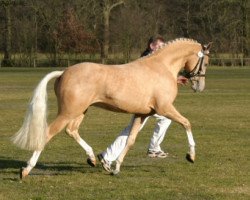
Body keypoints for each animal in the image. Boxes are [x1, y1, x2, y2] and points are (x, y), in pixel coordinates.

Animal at [11, 38, 211, 177]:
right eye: (206, 62)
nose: (199, 86)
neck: (161, 67)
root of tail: (63, 72)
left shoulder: (141, 114)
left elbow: (130, 140)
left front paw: (115, 168)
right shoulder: (165, 109)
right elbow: (187, 123)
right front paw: (191, 155)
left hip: (80, 111)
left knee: (71, 130)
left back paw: (93, 159)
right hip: (68, 112)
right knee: (48, 133)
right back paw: (26, 170)